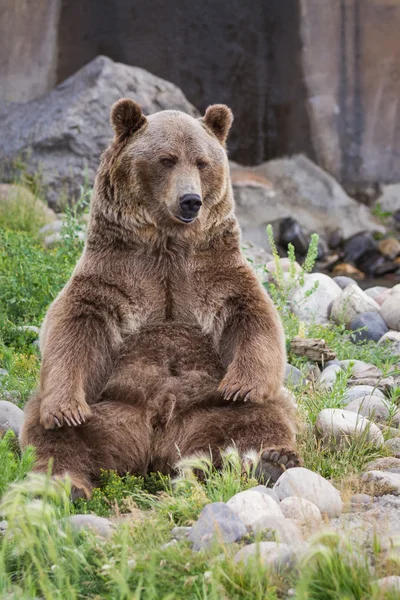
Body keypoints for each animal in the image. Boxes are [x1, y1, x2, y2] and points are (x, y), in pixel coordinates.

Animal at [20, 101, 298, 500]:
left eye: (202, 162)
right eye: (166, 159)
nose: (190, 200)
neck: (166, 245)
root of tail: (156, 446)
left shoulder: (213, 272)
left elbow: (253, 316)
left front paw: (240, 385)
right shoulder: (114, 275)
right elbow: (73, 327)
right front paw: (65, 410)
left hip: (209, 408)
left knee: (262, 417)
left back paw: (272, 459)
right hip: (108, 407)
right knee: (49, 434)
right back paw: (63, 484)